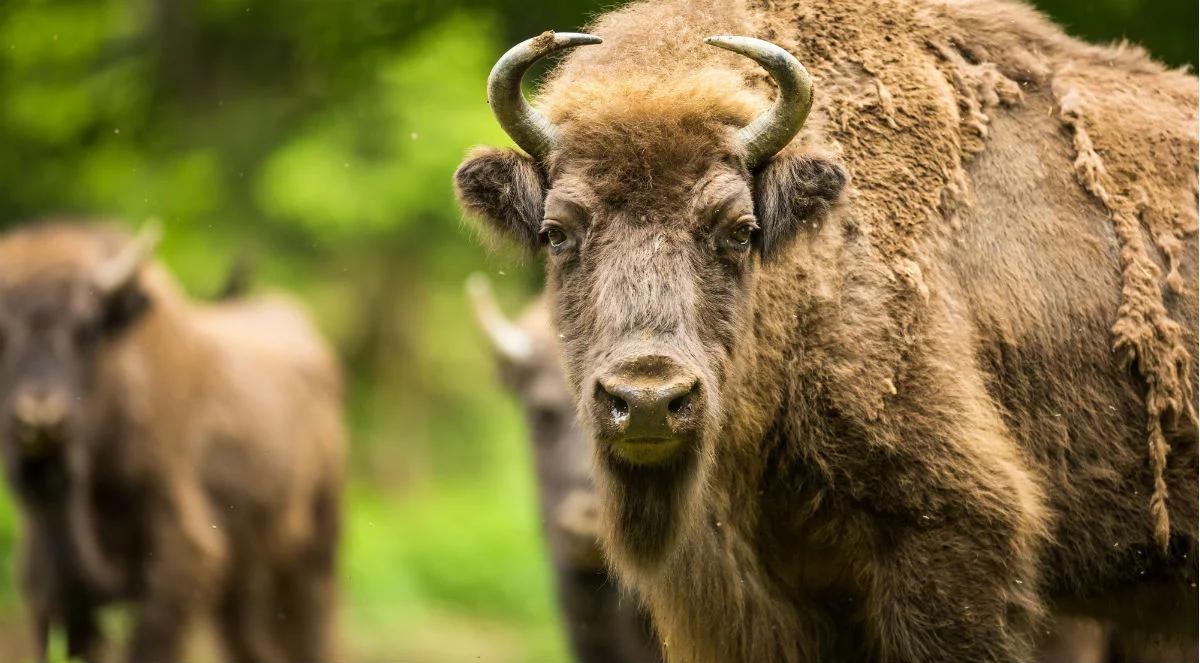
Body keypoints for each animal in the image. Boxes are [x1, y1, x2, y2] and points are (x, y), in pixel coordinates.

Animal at [0, 222, 348, 663]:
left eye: (87, 328)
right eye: (0, 333)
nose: (39, 414)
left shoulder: (177, 561)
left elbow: (151, 642)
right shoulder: (52, 588)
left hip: (314, 551)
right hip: (242, 581)